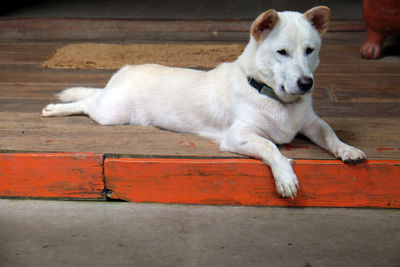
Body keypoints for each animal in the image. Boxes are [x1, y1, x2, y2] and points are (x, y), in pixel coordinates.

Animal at [43, 6, 366, 199]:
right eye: (282, 52)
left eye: (310, 50)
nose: (306, 83)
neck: (275, 97)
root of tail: (126, 69)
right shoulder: (239, 137)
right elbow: (270, 146)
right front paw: (285, 175)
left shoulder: (312, 123)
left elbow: (330, 133)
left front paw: (347, 150)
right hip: (111, 112)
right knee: (87, 101)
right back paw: (55, 108)